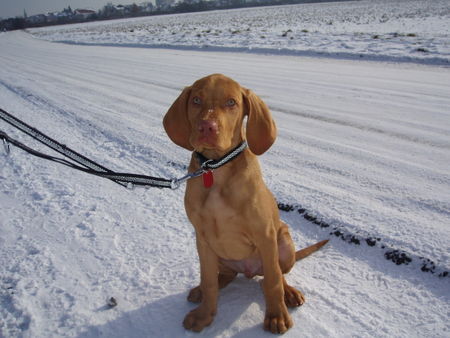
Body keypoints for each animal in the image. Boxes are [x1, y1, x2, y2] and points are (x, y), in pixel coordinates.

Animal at [163, 73, 326, 332]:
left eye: (231, 102)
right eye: (196, 100)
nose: (207, 127)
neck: (215, 168)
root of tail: (249, 271)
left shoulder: (265, 235)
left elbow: (273, 281)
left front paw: (276, 316)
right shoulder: (203, 238)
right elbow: (208, 280)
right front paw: (204, 315)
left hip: (283, 243)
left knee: (277, 274)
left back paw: (289, 293)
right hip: (218, 254)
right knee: (223, 276)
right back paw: (202, 291)